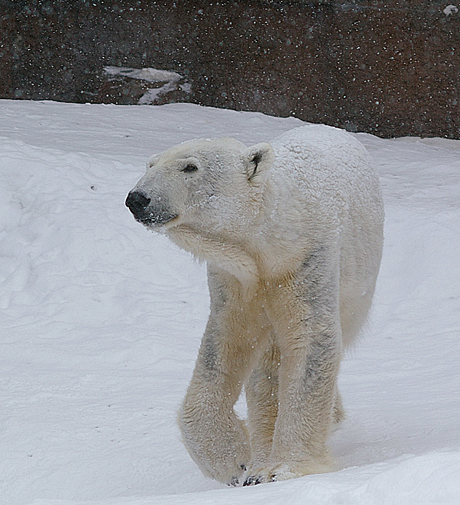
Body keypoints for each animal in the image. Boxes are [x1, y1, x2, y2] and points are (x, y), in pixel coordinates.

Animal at [126, 122, 384, 484]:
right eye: (150, 164)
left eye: (190, 167)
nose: (137, 198)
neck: (267, 238)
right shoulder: (237, 279)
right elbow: (227, 343)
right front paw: (235, 462)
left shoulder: (305, 260)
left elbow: (310, 341)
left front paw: (284, 469)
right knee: (266, 371)